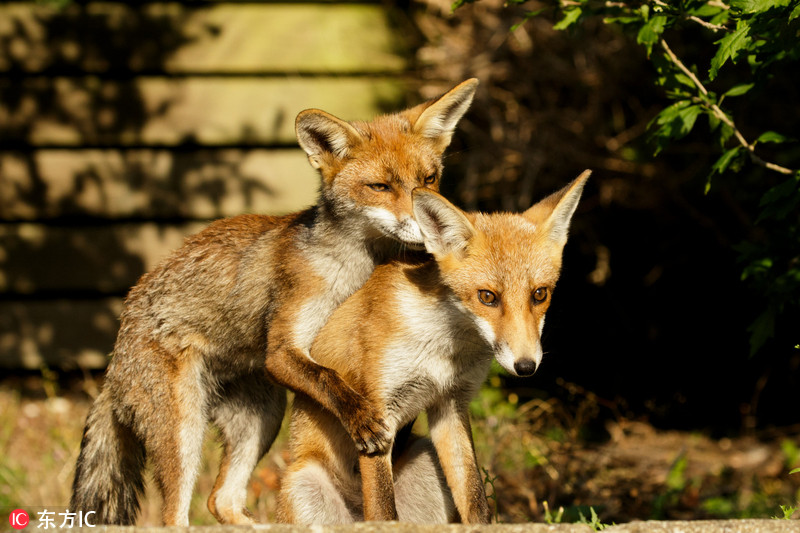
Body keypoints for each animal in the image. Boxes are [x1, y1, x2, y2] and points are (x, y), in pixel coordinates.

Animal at [69, 77, 478, 524]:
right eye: (380, 187)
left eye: (429, 179)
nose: (426, 228)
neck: (357, 268)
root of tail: (114, 357)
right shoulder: (283, 347)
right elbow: (329, 378)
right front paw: (362, 420)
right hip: (184, 430)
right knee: (175, 515)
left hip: (263, 417)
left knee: (221, 499)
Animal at [278, 171, 592, 524]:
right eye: (487, 297)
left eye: (540, 294)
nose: (526, 366)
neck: (443, 350)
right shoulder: (378, 412)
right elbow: (383, 511)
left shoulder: (450, 404)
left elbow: (475, 497)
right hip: (305, 484)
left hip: (426, 458)